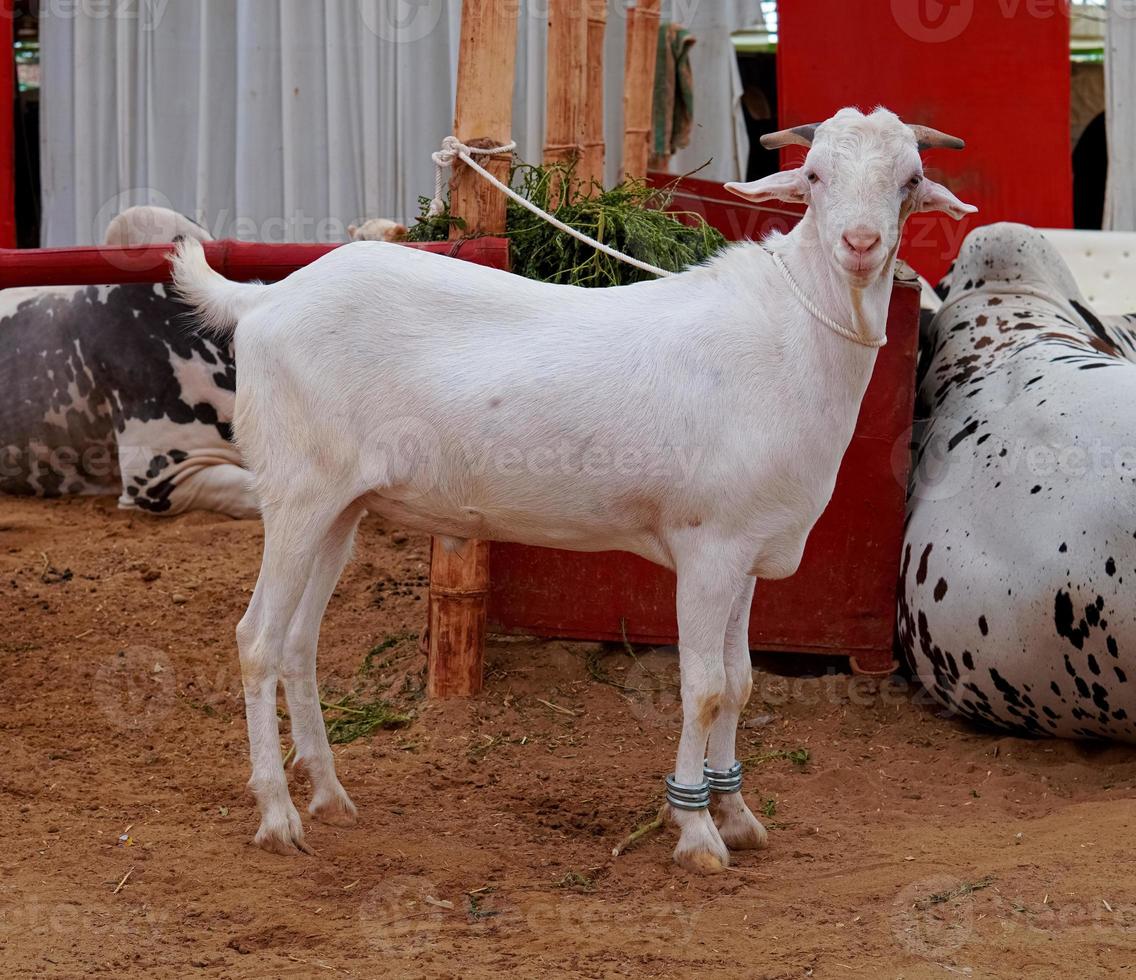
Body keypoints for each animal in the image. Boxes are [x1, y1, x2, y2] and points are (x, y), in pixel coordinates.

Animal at [170, 107, 976, 872]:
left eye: (910, 181)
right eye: (812, 176)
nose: (861, 244)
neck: (791, 337)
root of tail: (262, 302)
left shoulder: (746, 552)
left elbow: (742, 681)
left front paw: (738, 814)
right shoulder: (707, 548)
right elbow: (705, 687)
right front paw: (696, 832)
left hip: (341, 508)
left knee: (299, 642)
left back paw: (331, 795)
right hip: (296, 493)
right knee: (257, 640)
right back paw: (278, 816)